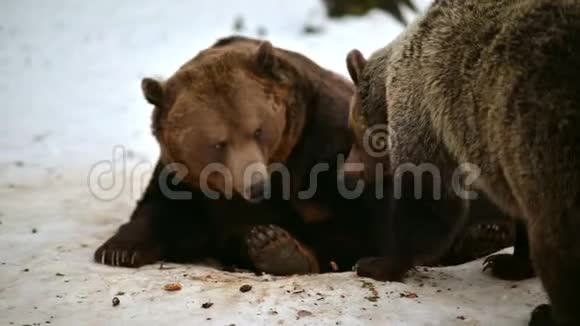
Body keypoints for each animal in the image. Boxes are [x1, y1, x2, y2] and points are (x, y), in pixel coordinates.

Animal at [97, 35, 516, 276]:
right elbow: (162, 211)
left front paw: (278, 246)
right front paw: (117, 250)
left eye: (258, 130)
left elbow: (369, 216)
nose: (255, 184)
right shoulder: (187, 180)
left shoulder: (330, 146)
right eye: (216, 142)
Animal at [344, 1, 580, 324]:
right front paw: (508, 263)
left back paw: (547, 314)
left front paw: (377, 263)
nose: (347, 174)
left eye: (357, 133)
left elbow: (431, 199)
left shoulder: (426, 110)